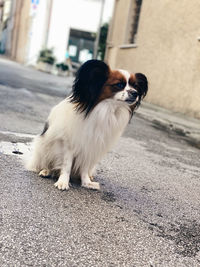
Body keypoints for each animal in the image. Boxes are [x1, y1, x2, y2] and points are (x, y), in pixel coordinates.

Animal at [26, 60, 148, 192]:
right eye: (119, 85)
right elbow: (66, 165)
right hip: (43, 147)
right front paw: (63, 182)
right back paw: (46, 171)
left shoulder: (90, 147)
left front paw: (86, 182)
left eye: (135, 86)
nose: (135, 93)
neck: (107, 109)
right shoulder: (69, 145)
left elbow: (84, 167)